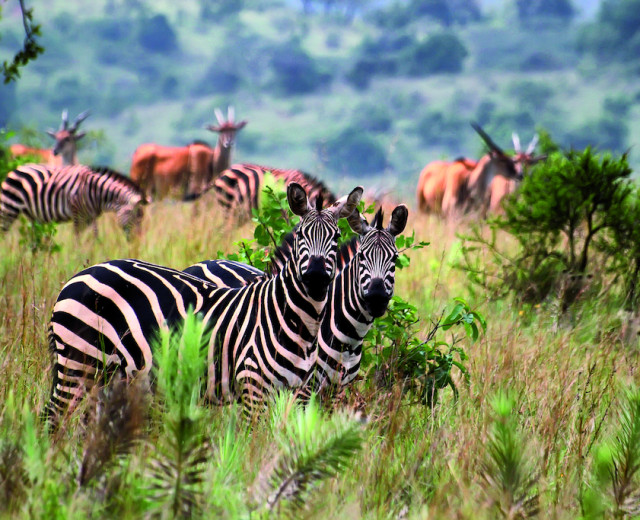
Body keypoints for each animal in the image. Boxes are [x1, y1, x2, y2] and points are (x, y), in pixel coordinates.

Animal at [1, 164, 149, 237]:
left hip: (31, 215)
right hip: (9, 209)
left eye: (141, 219)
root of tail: (16, 169)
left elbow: (95, 236)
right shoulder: (78, 213)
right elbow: (78, 237)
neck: (96, 191)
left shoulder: (90, 216)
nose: (137, 241)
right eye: (135, 218)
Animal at [45, 183, 362, 422]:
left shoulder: (297, 394)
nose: (317, 277)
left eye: (336, 237)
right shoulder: (254, 388)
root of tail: (79, 275)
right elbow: (252, 451)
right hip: (79, 359)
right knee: (53, 418)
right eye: (300, 236)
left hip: (106, 374)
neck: (295, 321)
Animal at [184, 203, 410, 394]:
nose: (377, 298)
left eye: (395, 258)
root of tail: (203, 262)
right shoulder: (303, 386)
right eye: (362, 256)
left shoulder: (336, 390)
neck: (349, 336)